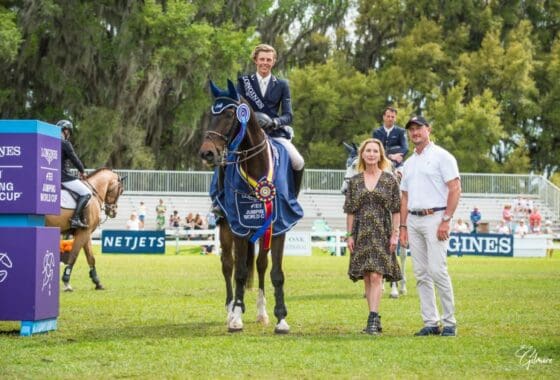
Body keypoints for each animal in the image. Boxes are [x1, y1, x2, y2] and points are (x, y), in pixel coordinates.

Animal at [198, 79, 302, 332]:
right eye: (210, 114)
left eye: (229, 114)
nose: (207, 153)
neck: (257, 166)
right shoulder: (239, 227)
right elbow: (240, 272)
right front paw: (236, 318)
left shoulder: (278, 227)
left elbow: (275, 272)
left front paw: (280, 319)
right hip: (226, 227)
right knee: (228, 265)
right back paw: (231, 309)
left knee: (261, 264)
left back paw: (260, 312)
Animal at [340, 142, 410, 296]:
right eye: (345, 164)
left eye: (354, 165)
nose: (344, 190)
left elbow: (393, 255)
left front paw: (394, 290)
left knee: (402, 255)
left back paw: (402, 287)